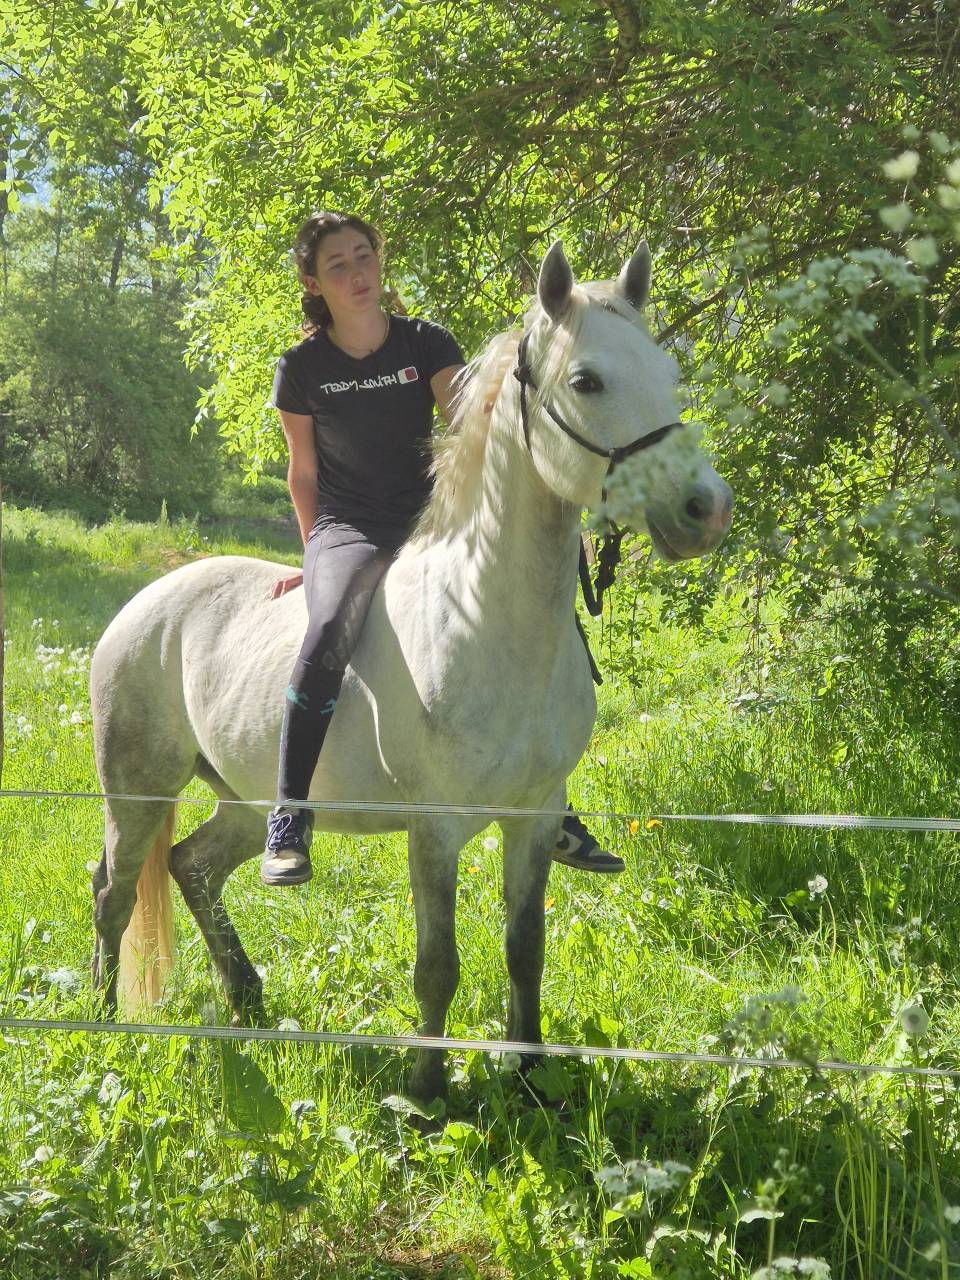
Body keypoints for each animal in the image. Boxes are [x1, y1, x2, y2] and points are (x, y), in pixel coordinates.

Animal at [90, 240, 733, 1103]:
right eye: (586, 381)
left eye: (669, 372)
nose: (707, 509)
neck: (488, 622)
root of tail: (145, 603)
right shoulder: (435, 830)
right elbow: (438, 967)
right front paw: (427, 1092)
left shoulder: (533, 818)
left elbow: (524, 950)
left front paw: (532, 1075)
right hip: (136, 790)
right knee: (116, 891)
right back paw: (103, 1023)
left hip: (243, 796)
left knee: (192, 867)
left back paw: (248, 996)